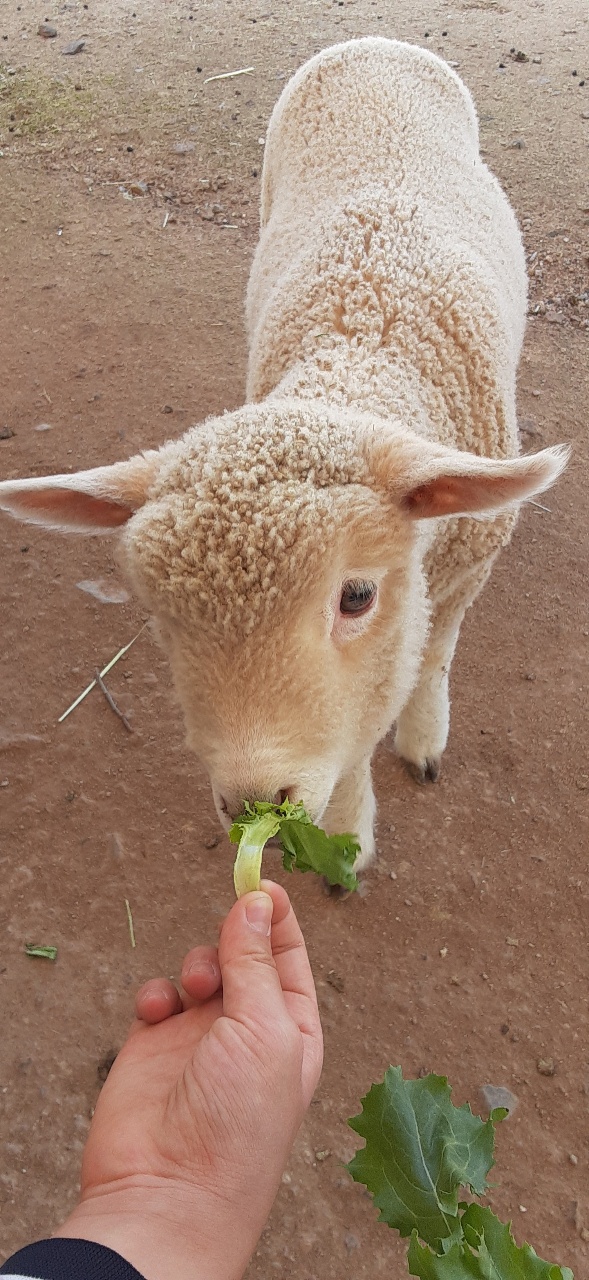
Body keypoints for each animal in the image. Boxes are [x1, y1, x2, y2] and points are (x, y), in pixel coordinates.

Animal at [1, 42, 571, 880]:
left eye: (356, 597)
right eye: (159, 617)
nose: (254, 803)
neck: (364, 346)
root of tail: (373, 44)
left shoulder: (467, 563)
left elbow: (424, 659)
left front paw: (420, 738)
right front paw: (345, 831)